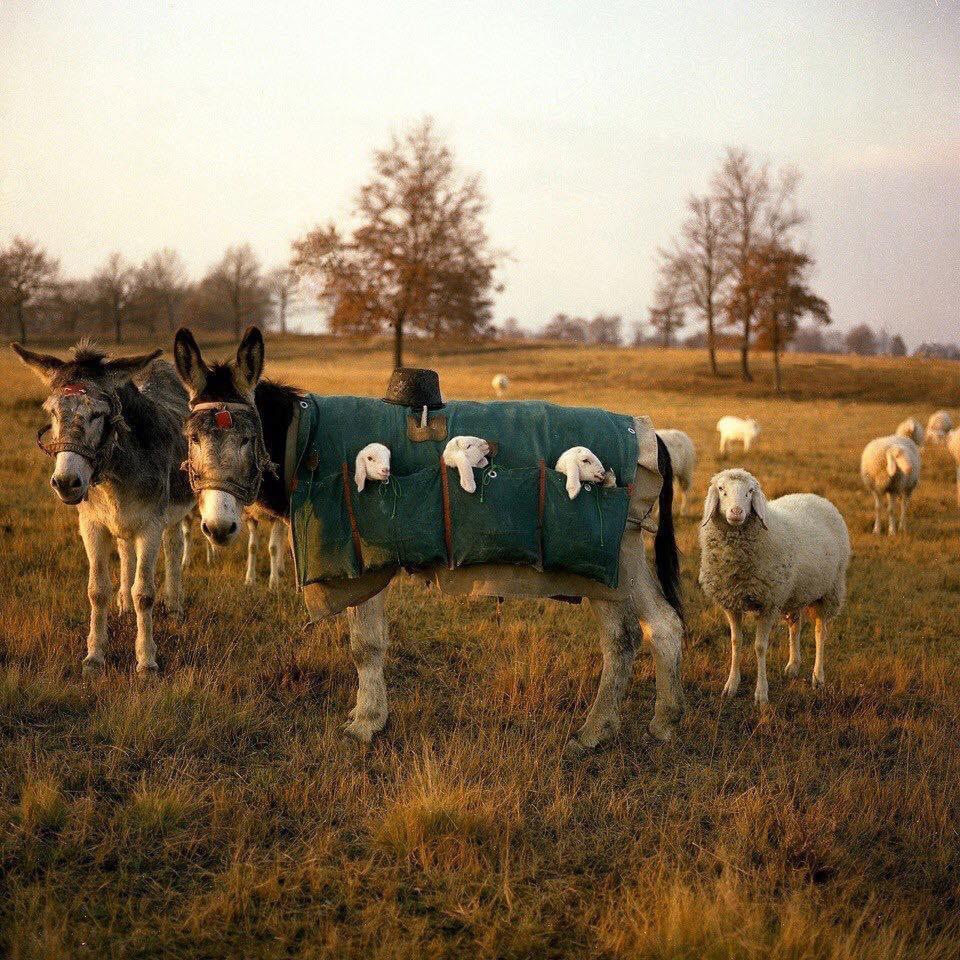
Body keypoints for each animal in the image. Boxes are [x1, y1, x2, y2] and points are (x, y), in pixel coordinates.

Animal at [696, 466, 848, 704]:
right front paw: (731, 685)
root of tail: (815, 496)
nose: (737, 512)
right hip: (796, 592)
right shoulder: (731, 602)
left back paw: (818, 677)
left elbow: (760, 647)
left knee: (820, 633)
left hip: (830, 591)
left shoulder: (768, 603)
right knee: (795, 625)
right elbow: (735, 642)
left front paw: (761, 694)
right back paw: (793, 666)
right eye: (721, 489)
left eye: (750, 491)